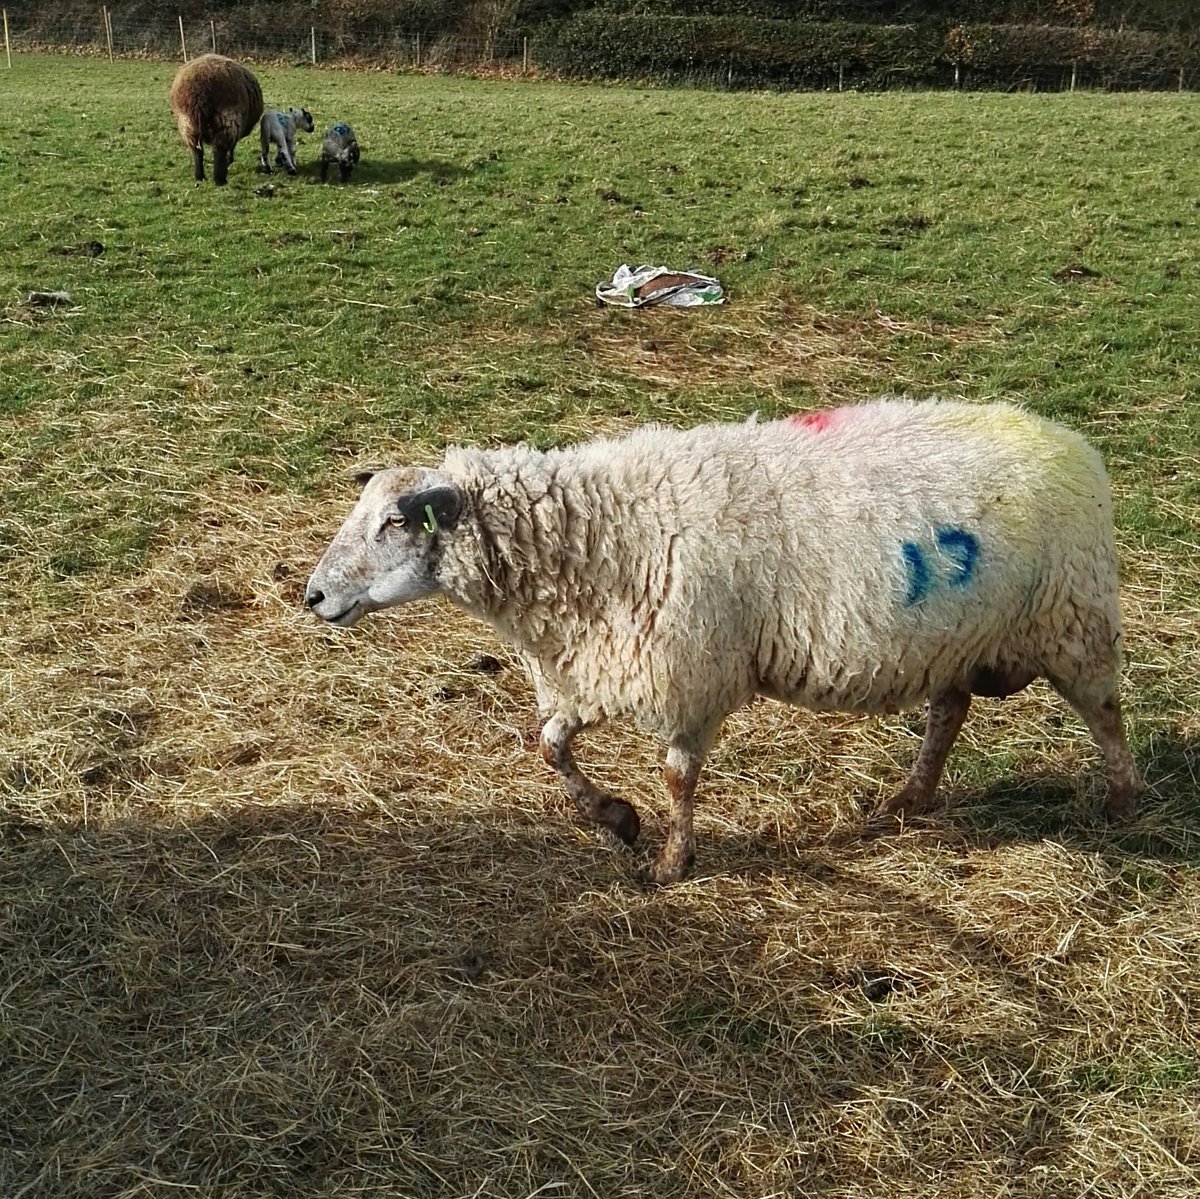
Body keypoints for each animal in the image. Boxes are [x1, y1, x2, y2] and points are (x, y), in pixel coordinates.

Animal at [169, 54, 263, 186]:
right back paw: (219, 180)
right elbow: (231, 147)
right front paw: (229, 160)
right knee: (219, 149)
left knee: (197, 152)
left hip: (187, 123)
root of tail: (200, 92)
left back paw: (200, 177)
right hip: (226, 121)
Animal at [305, 398, 1144, 885]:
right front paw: (616, 818)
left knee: (1106, 714)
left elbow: (678, 778)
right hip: (956, 634)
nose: (313, 596)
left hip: (1073, 621)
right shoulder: (600, 667)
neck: (596, 536)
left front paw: (674, 859)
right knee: (950, 711)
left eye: (394, 522)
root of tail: (1072, 441)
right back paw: (909, 799)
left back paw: (1122, 804)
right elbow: (549, 745)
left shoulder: (688, 676)